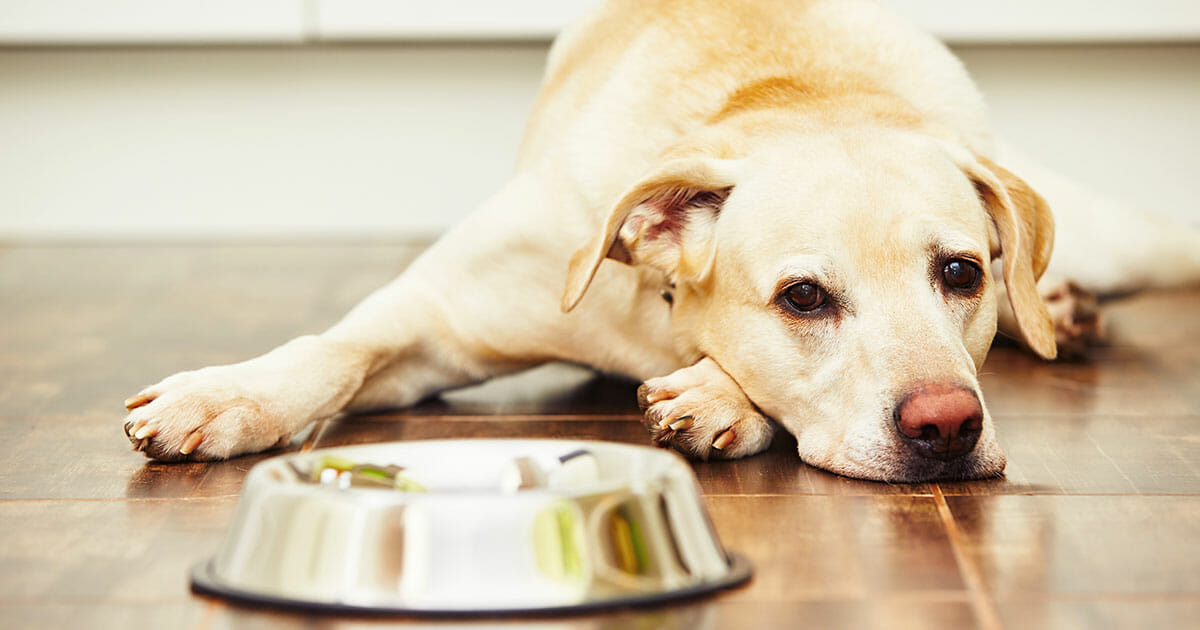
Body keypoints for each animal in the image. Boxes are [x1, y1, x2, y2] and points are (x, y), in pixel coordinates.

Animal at [121, 1, 1200, 482]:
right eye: (804, 297)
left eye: (961, 273)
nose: (947, 428)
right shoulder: (436, 315)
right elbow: (334, 349)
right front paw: (229, 396)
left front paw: (717, 395)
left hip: (1126, 239)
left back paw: (1056, 306)